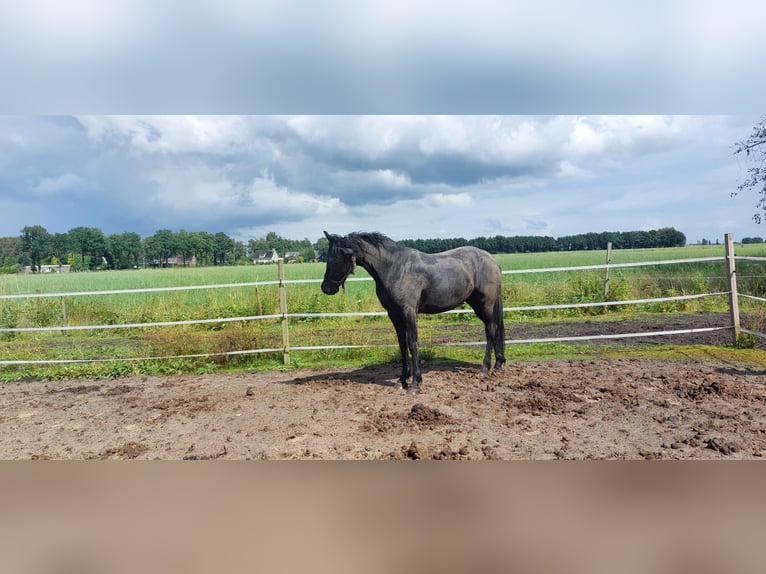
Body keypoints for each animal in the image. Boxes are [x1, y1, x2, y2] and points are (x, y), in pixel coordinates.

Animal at [320, 232, 508, 394]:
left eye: (336, 259)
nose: (326, 288)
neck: (395, 268)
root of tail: (492, 260)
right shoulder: (394, 314)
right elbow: (402, 345)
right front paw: (402, 380)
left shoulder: (409, 312)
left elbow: (412, 343)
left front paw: (415, 383)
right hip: (476, 303)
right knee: (495, 328)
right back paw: (498, 363)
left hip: (485, 304)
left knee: (491, 329)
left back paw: (484, 368)